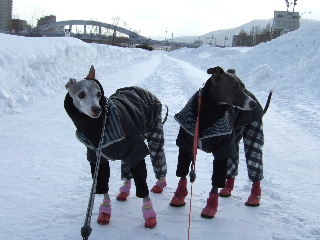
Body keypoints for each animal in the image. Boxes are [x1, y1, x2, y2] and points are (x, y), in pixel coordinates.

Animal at [169, 66, 272, 218]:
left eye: (243, 87)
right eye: (235, 87)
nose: (252, 103)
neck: (209, 112)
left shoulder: (222, 149)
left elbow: (216, 182)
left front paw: (211, 206)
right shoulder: (186, 144)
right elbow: (182, 172)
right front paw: (179, 196)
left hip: (252, 133)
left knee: (255, 164)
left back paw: (254, 197)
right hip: (234, 140)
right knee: (233, 162)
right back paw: (228, 188)